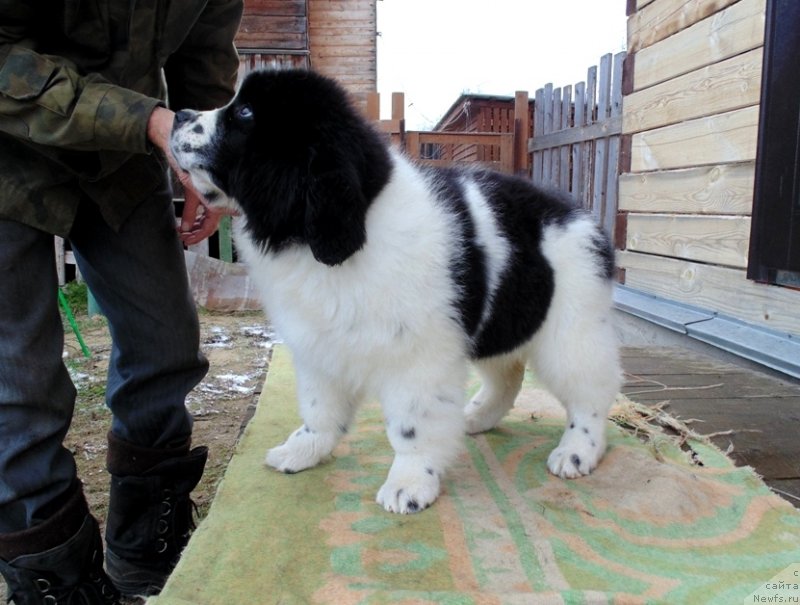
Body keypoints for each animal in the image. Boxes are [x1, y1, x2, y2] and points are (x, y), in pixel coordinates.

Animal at [169, 71, 620, 516]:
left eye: (245, 112)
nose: (178, 114)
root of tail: (581, 217)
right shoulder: (320, 345)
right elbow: (319, 408)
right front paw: (305, 450)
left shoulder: (417, 359)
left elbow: (411, 427)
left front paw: (410, 483)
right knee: (507, 376)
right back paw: (476, 418)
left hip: (570, 331)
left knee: (591, 393)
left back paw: (578, 451)